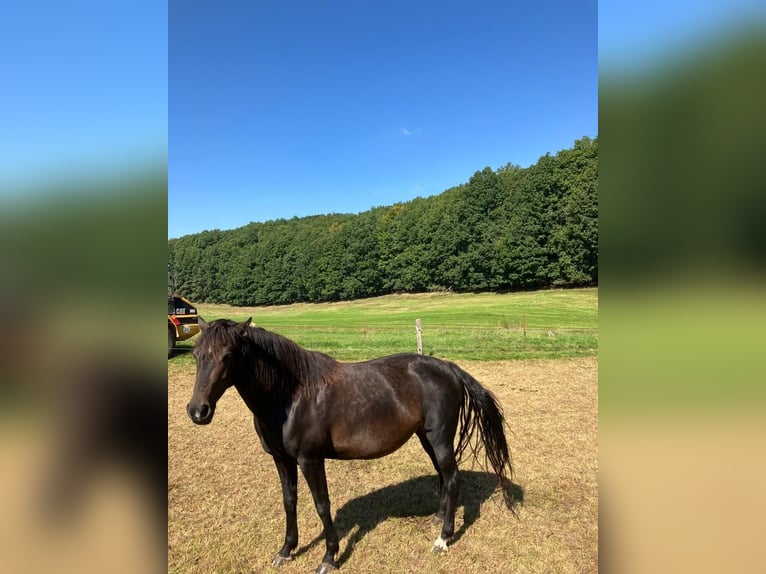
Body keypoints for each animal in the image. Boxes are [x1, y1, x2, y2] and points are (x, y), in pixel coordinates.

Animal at [189, 320, 520, 574]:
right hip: (426, 437)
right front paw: (286, 550)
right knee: (443, 477)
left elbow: (322, 505)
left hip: (439, 438)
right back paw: (438, 518)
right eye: (196, 355)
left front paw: (329, 557)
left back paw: (443, 539)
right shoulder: (282, 460)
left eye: (228, 355)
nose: (197, 411)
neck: (290, 396)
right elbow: (289, 502)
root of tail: (449, 368)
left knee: (452, 478)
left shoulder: (310, 460)